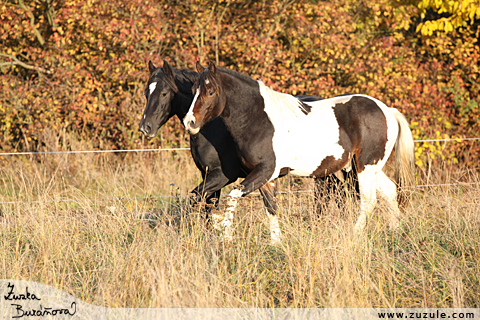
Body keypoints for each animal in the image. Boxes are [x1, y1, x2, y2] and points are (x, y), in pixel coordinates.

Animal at [184, 61, 416, 242]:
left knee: (369, 200)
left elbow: (233, 195)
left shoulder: (264, 171)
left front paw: (224, 230)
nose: (189, 122)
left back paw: (355, 234)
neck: (259, 119)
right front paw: (275, 243)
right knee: (389, 191)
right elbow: (271, 207)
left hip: (366, 167)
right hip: (369, 166)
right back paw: (395, 231)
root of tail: (387, 110)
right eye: (193, 90)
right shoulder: (265, 178)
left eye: (210, 91)